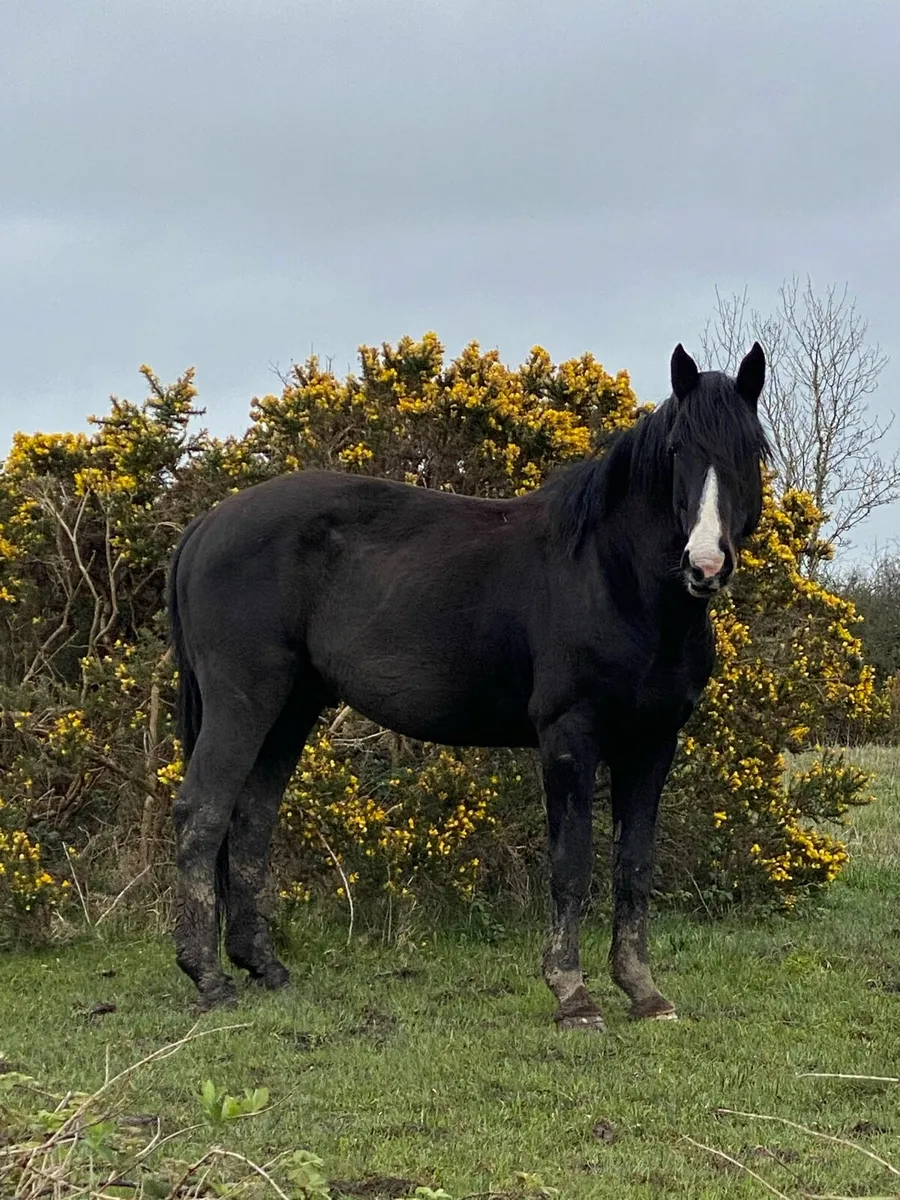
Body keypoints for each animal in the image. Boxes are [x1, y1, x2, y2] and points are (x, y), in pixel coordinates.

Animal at [167, 342, 768, 1028]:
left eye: (751, 449)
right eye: (675, 450)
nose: (706, 564)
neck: (611, 576)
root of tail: (207, 525)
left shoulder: (652, 743)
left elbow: (634, 866)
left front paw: (642, 991)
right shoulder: (570, 737)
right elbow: (571, 865)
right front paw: (572, 995)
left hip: (291, 709)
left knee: (251, 821)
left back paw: (264, 967)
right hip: (242, 701)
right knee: (202, 813)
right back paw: (208, 977)